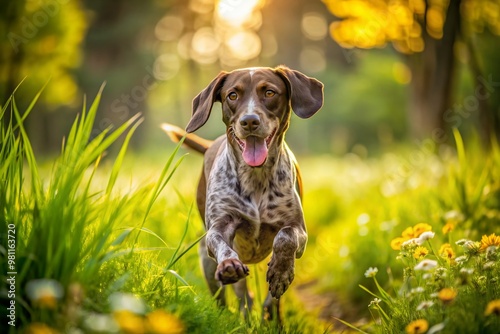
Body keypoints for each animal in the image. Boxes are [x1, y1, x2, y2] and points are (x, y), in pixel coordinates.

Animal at [161, 65, 324, 320]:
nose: (249, 121)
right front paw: (229, 265)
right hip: (206, 262)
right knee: (235, 298)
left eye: (269, 92)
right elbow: (223, 246)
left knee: (269, 302)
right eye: (232, 95)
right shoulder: (219, 227)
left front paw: (280, 272)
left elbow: (285, 238)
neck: (256, 177)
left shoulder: (299, 230)